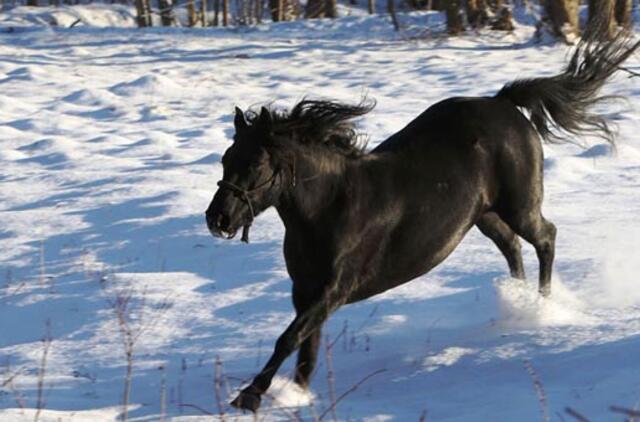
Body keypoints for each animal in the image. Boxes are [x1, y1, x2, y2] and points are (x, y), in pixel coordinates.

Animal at [208, 34, 636, 410]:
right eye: (226, 158)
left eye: (256, 163)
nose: (217, 218)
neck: (331, 207)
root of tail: (503, 104)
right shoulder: (306, 290)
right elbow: (305, 348)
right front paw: (295, 395)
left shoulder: (333, 290)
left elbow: (290, 337)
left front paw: (250, 395)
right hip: (484, 216)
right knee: (512, 246)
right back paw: (518, 302)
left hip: (519, 205)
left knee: (545, 237)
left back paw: (544, 307)